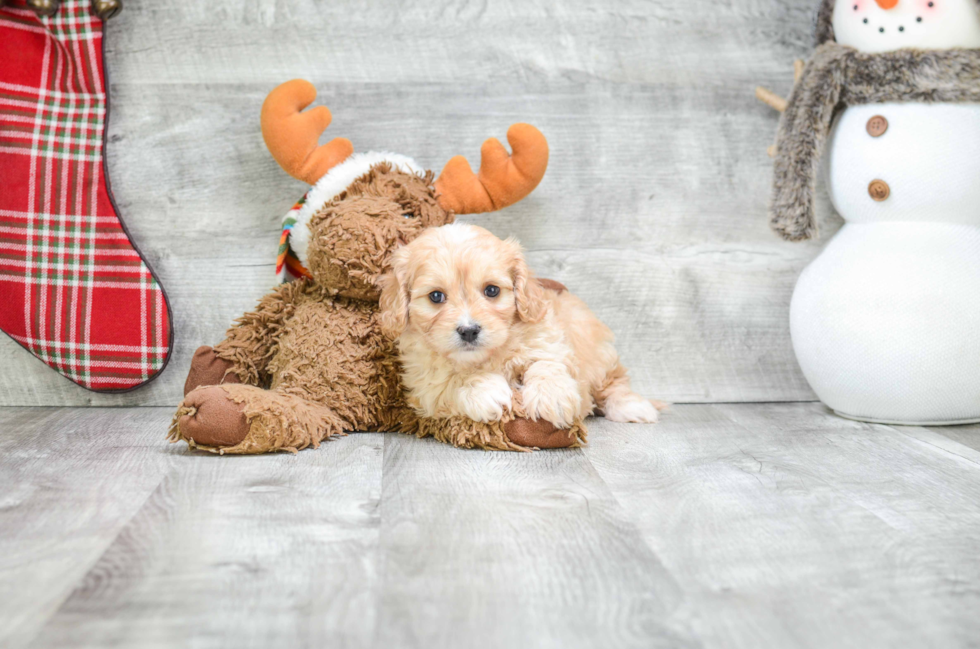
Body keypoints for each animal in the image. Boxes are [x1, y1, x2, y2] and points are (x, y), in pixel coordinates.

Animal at [378, 224, 664, 430]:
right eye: (436, 296)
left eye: (492, 290)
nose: (469, 331)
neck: (487, 357)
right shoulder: (422, 381)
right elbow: (449, 380)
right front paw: (485, 389)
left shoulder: (548, 339)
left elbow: (547, 363)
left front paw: (553, 397)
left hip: (599, 353)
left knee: (615, 382)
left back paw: (634, 407)